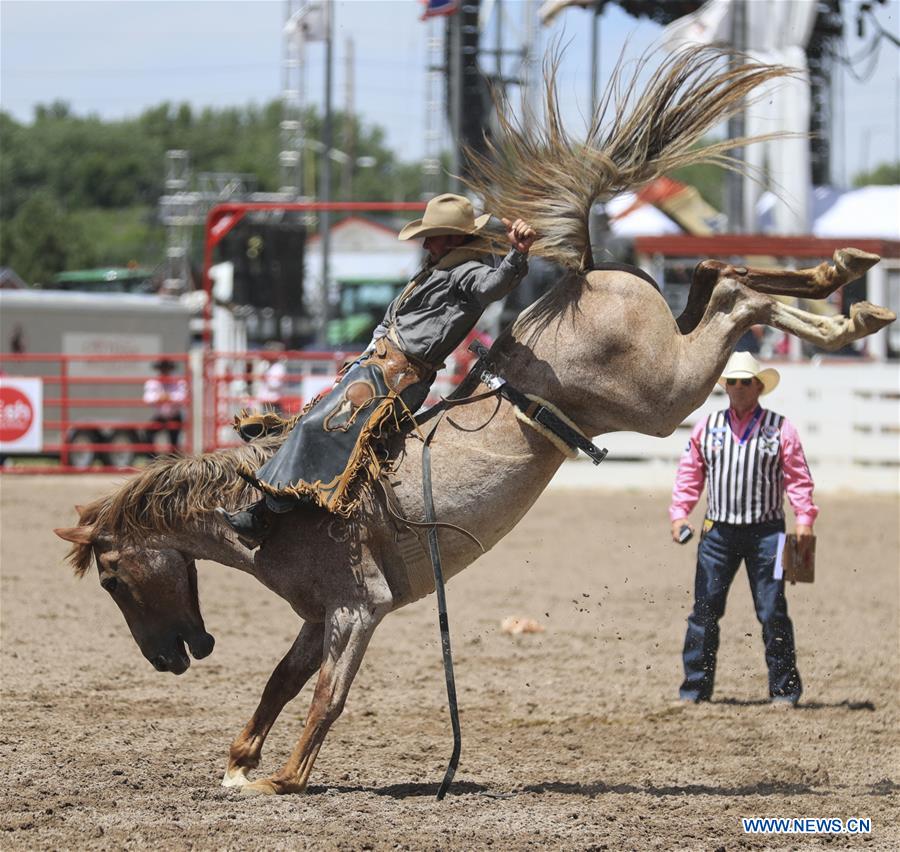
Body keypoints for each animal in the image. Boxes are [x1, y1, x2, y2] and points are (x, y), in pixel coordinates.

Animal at [54, 46, 892, 796]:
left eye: (113, 578)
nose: (173, 657)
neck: (271, 513)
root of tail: (587, 272)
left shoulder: (359, 608)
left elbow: (326, 696)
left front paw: (281, 780)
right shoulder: (321, 615)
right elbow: (280, 682)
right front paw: (238, 761)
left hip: (665, 395)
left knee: (729, 294)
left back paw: (844, 288)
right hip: (668, 377)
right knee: (722, 281)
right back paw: (845, 290)